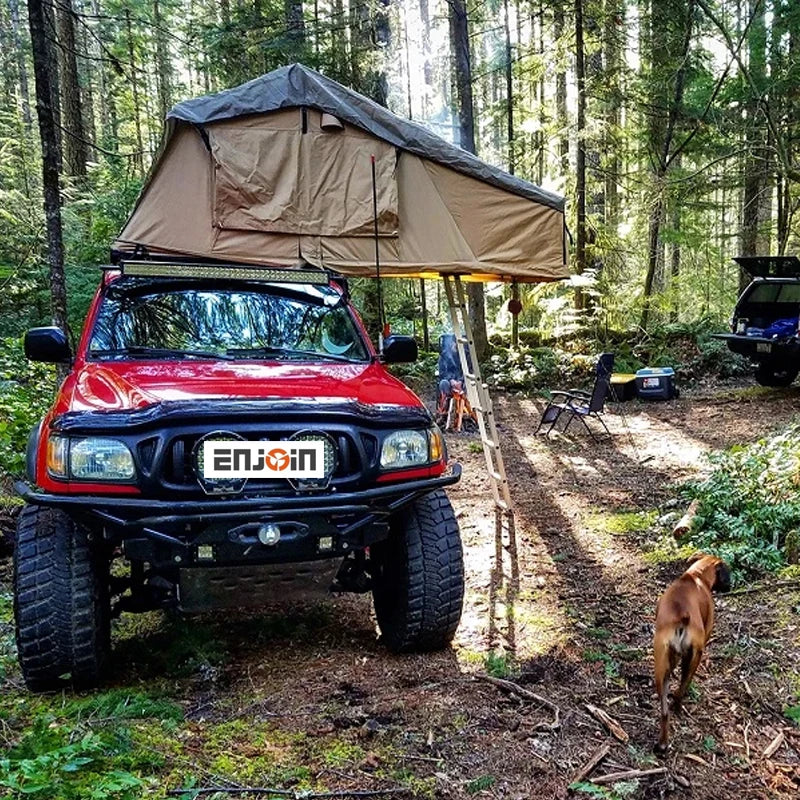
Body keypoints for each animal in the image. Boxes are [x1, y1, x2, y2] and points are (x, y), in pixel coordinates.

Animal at [652, 552, 728, 752]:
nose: (731, 583)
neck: (695, 576)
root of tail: (682, 616)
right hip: (694, 658)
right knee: (682, 687)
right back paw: (678, 706)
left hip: (660, 665)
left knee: (664, 712)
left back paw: (662, 743)